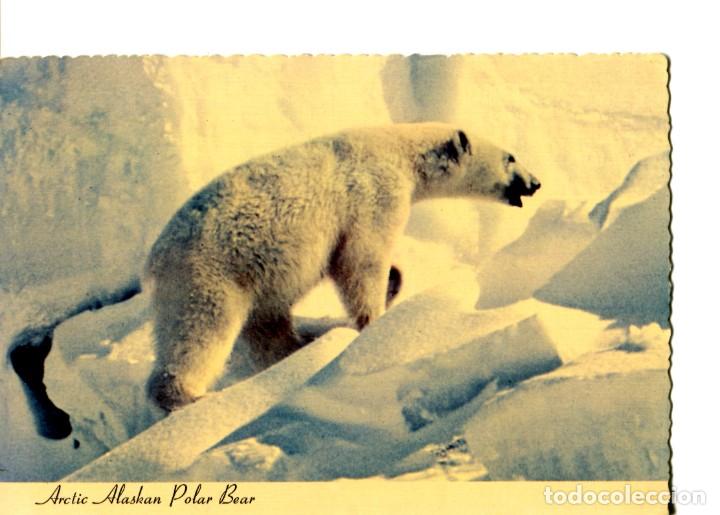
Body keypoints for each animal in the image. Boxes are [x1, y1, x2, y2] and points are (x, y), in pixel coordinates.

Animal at [145, 123, 541, 411]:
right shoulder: (374, 194)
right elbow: (360, 260)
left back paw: (299, 346)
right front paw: (374, 319)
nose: (535, 182)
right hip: (213, 269)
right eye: (510, 157)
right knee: (201, 329)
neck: (399, 152)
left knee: (266, 323)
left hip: (254, 275)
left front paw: (395, 279)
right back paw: (186, 395)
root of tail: (154, 259)